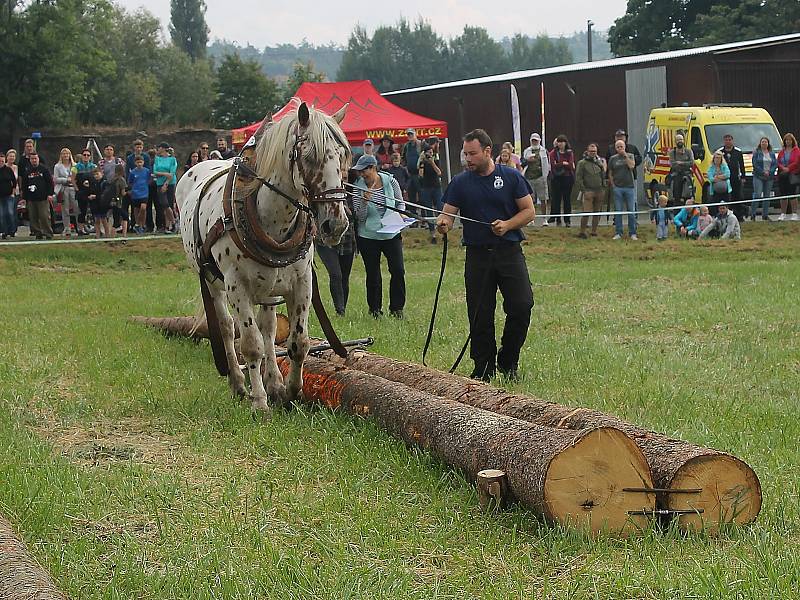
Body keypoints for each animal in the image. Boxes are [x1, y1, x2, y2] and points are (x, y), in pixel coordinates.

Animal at [180, 103, 352, 412]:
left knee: (269, 329)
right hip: (214, 284)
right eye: (310, 156)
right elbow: (250, 344)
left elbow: (298, 342)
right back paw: (239, 383)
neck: (273, 218)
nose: (336, 225)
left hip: (270, 287)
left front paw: (291, 390)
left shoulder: (302, 283)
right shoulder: (237, 287)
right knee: (227, 329)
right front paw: (259, 402)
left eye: (343, 156)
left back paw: (274, 382)